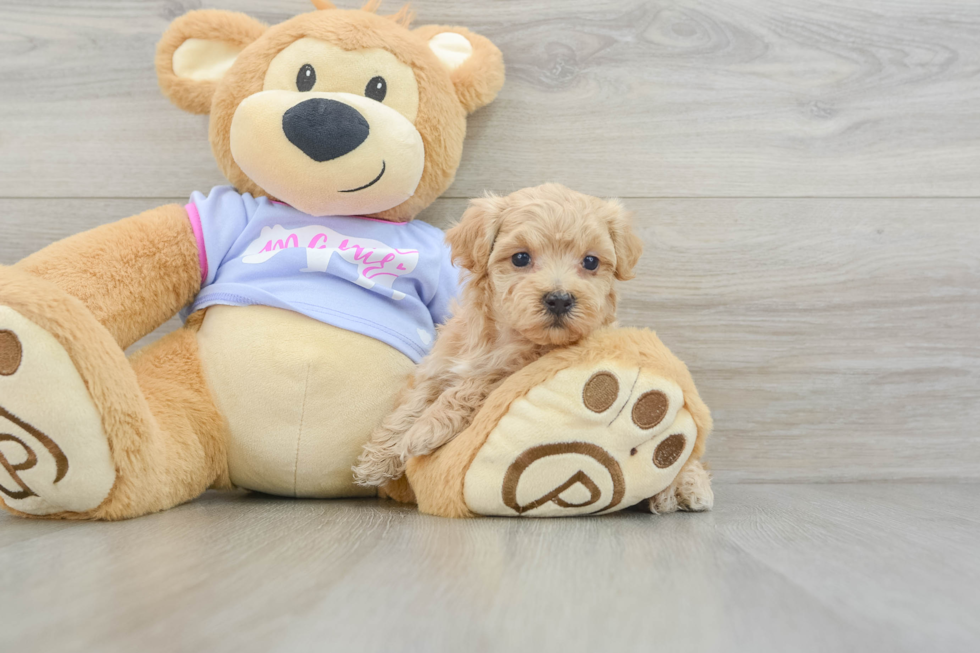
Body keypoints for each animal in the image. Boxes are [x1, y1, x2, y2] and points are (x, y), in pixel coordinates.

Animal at [352, 181, 644, 486]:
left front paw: (425, 430)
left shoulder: (514, 372)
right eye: (520, 258)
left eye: (590, 262)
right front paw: (378, 459)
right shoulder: (440, 364)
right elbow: (413, 402)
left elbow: (471, 386)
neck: (502, 336)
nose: (560, 299)